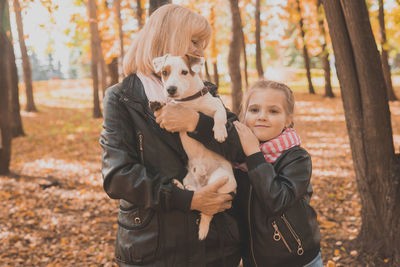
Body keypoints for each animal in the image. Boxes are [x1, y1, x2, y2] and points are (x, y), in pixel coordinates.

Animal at [152, 54, 236, 241]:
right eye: (164, 72)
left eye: (184, 72)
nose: (170, 89)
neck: (188, 102)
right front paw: (157, 104)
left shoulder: (216, 105)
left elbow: (220, 115)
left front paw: (220, 132)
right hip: (188, 178)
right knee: (194, 191)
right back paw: (181, 185)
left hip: (221, 178)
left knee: (208, 211)